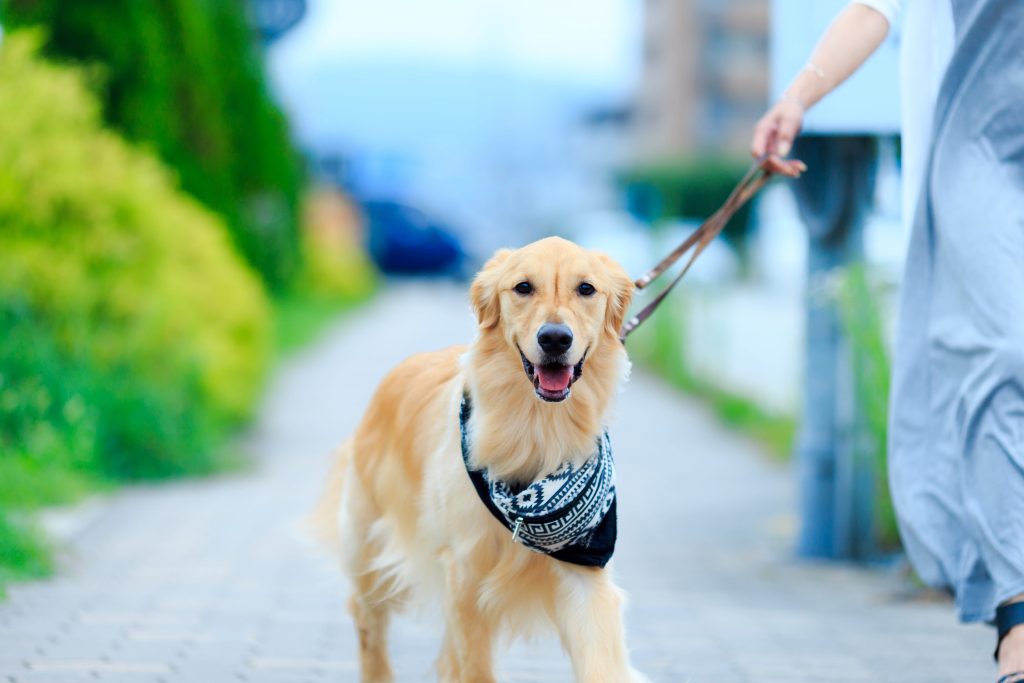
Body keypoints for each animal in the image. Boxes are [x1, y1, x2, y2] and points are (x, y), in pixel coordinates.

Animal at [313, 236, 647, 683]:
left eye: (586, 289)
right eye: (523, 287)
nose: (555, 339)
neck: (536, 430)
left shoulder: (585, 568)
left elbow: (601, 662)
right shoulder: (466, 571)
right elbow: (474, 667)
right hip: (366, 542)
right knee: (368, 618)